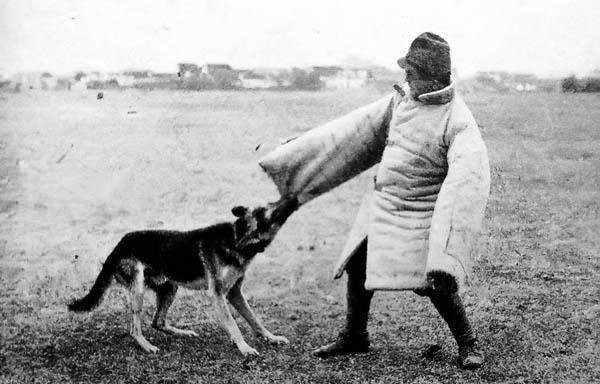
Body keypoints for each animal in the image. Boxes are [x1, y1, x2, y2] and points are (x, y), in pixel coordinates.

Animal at [68, 198, 300, 356]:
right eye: (267, 209)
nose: (292, 199)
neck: (238, 238)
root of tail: (117, 247)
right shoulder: (218, 294)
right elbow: (233, 324)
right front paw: (244, 347)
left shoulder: (234, 293)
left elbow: (254, 319)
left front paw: (270, 337)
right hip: (138, 290)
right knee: (135, 328)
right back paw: (146, 345)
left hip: (170, 288)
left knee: (158, 322)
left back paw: (182, 333)